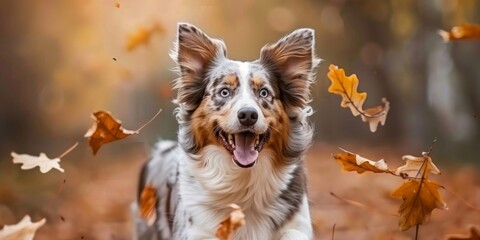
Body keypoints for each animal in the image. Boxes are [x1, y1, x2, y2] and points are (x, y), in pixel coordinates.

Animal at [132, 23, 318, 240]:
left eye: (264, 92)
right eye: (224, 92)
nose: (248, 115)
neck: (242, 180)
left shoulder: (297, 225)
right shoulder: (194, 230)